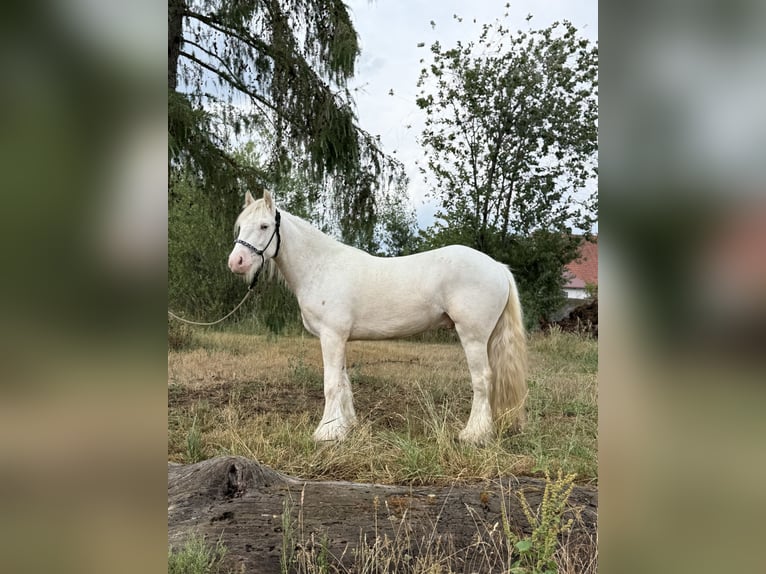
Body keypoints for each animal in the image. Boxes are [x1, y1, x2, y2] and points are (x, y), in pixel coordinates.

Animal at [227, 190, 528, 445]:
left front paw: (326, 432)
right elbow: (343, 383)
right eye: (241, 226)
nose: (236, 262)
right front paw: (345, 426)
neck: (321, 266)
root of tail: (497, 267)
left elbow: (331, 384)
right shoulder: (339, 338)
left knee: (482, 379)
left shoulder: (331, 336)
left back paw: (473, 434)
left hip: (473, 336)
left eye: (264, 226)